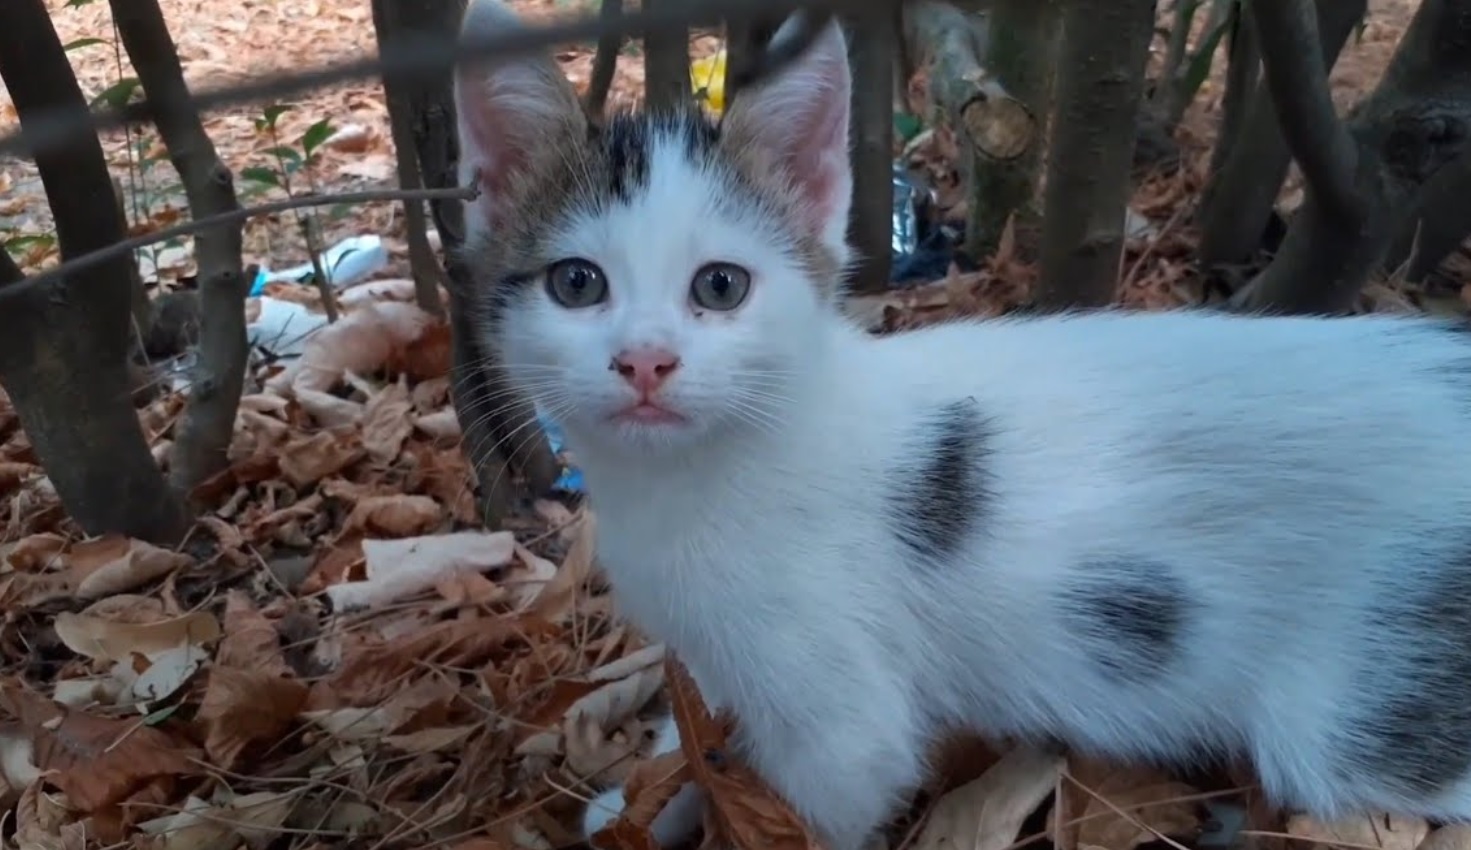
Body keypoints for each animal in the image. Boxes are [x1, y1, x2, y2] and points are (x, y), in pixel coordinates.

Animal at [450, 3, 1471, 841]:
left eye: (721, 286)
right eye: (576, 283)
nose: (644, 361)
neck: (693, 478)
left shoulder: (842, 724)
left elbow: (820, 798)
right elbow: (701, 728)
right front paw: (642, 793)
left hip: (1356, 711)